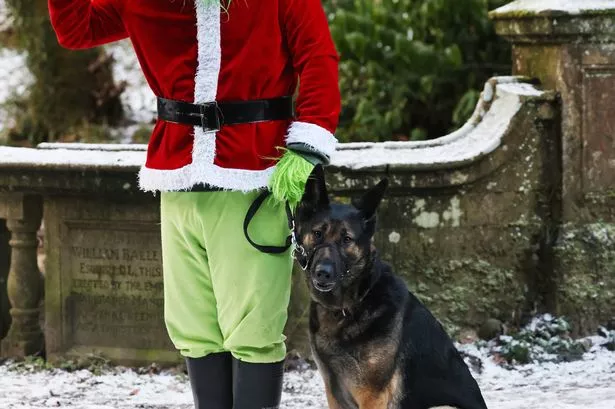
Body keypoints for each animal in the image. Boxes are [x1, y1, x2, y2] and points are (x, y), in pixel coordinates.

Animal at [296, 166, 488, 408]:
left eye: (347, 239)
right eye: (318, 233)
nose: (322, 272)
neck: (351, 304)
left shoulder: (372, 395)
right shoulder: (334, 392)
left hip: (442, 405)